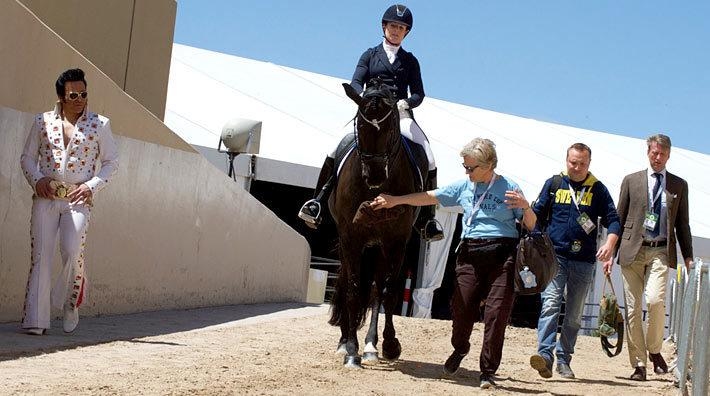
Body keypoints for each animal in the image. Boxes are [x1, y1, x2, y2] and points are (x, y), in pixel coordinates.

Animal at [330, 78, 428, 368]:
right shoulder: (350, 237)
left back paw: (371, 345)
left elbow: (387, 292)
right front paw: (351, 349)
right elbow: (352, 290)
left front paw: (389, 344)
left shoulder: (396, 241)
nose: (374, 176)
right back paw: (344, 342)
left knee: (375, 290)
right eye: (360, 125)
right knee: (344, 283)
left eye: (391, 125)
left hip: (378, 248)